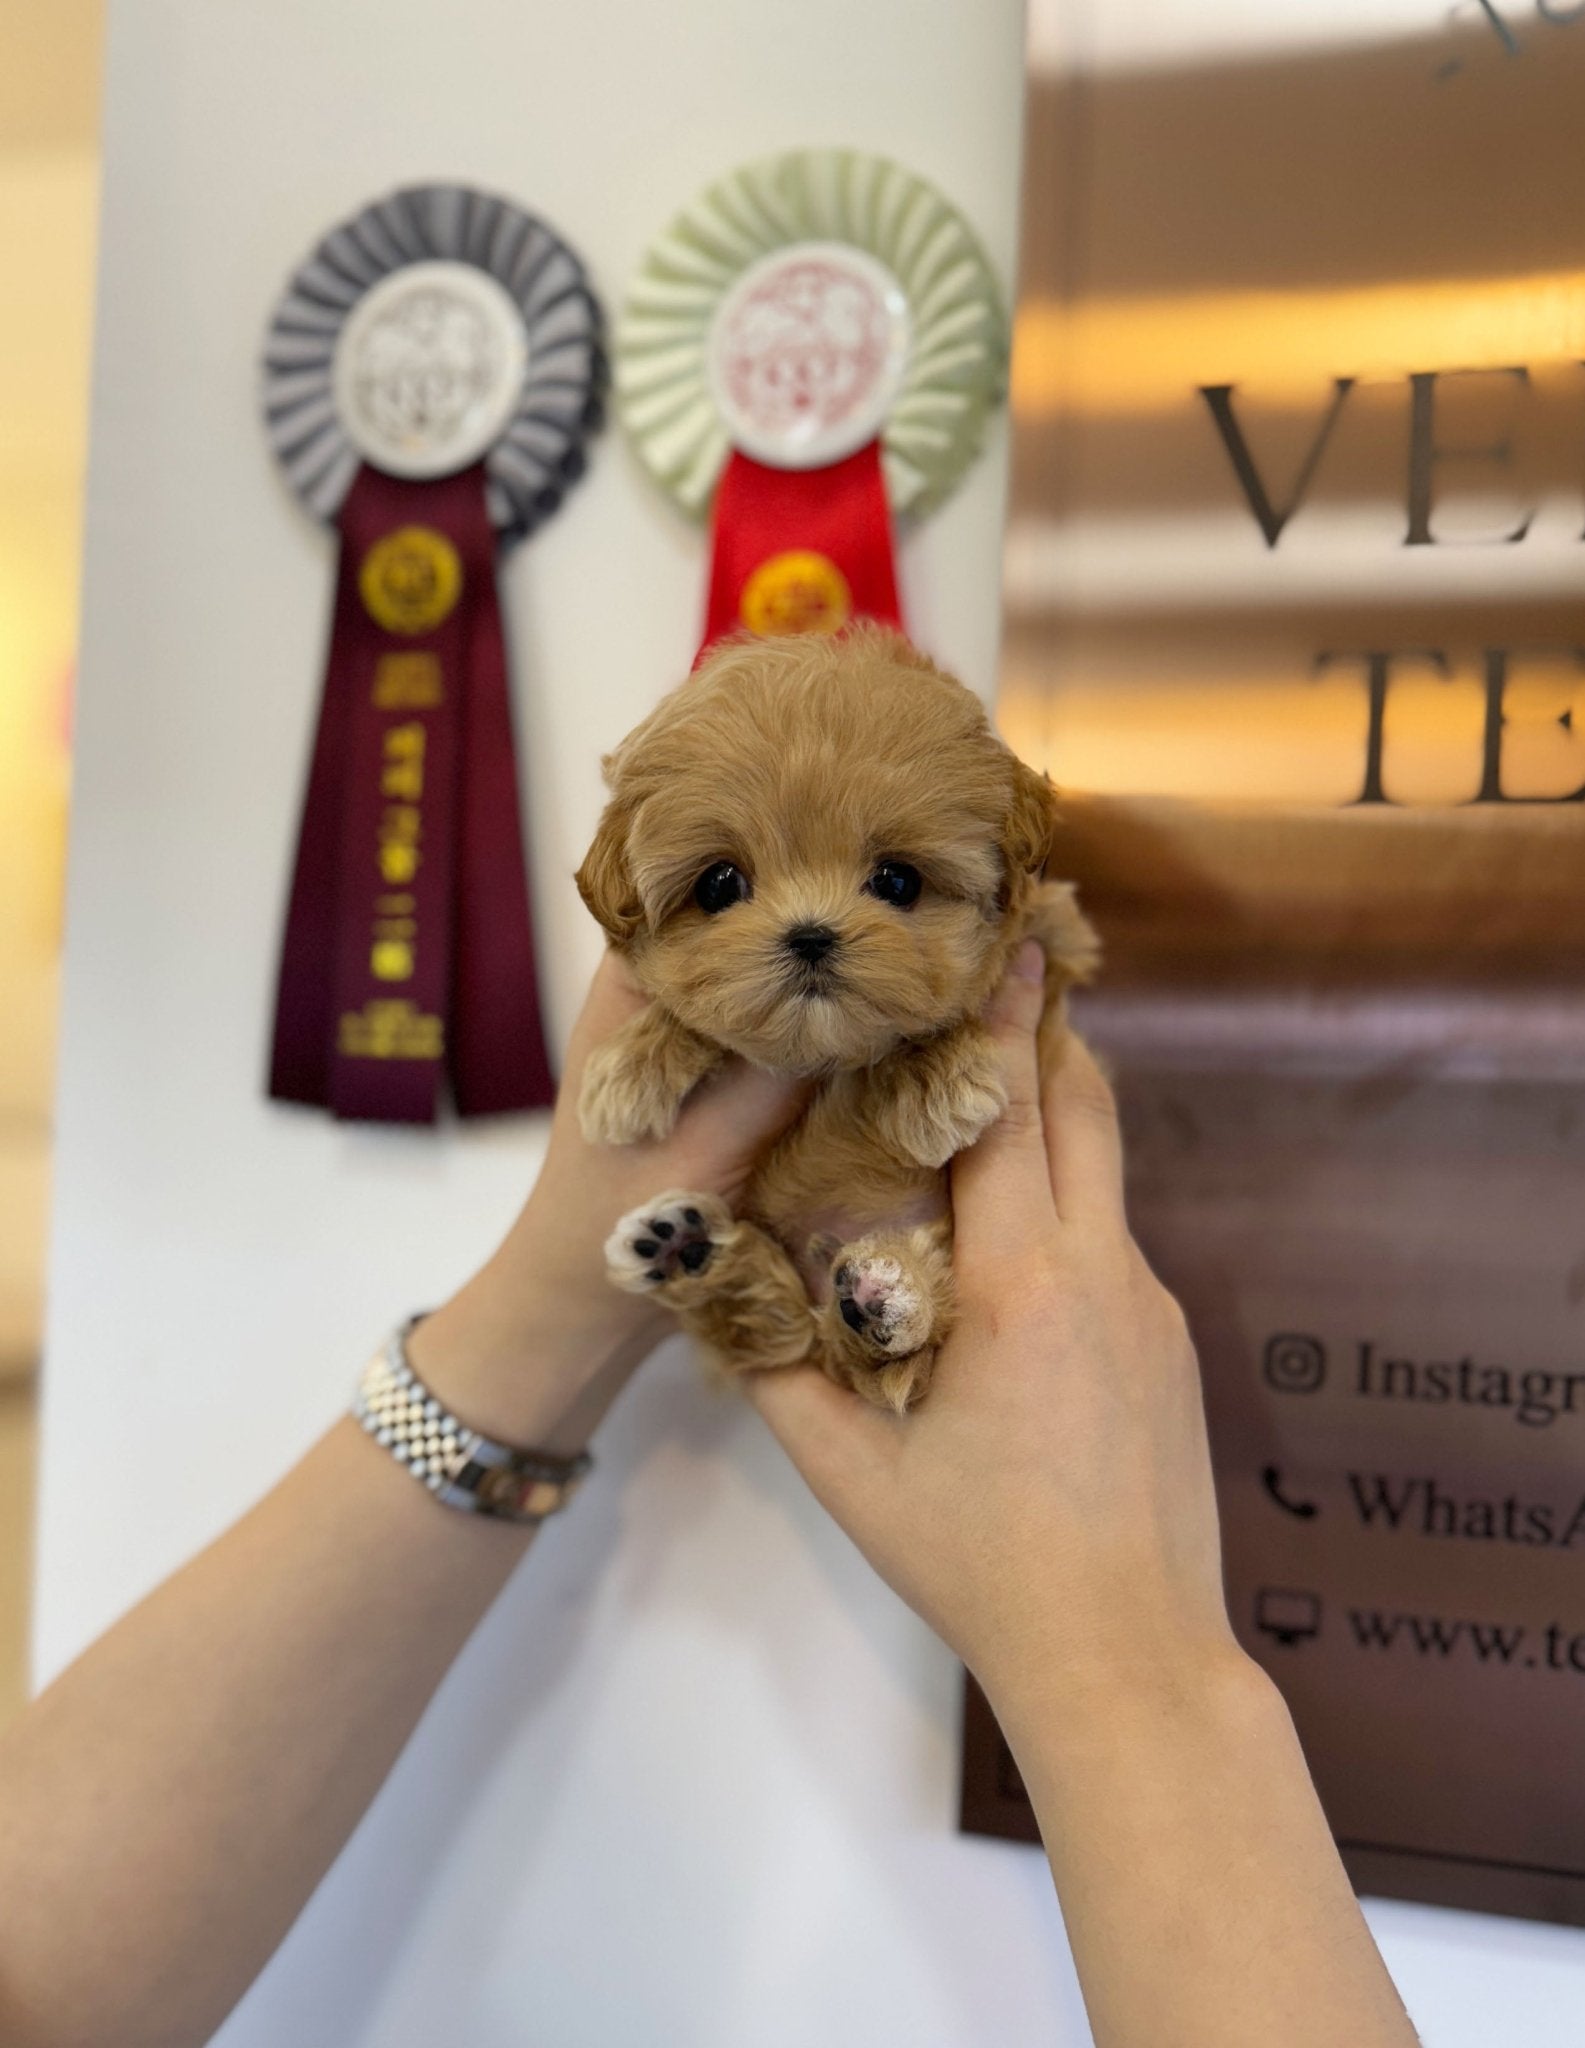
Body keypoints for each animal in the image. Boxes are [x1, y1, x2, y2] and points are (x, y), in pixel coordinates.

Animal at [573, 626, 1105, 1409]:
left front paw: (932, 1079)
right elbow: (685, 1014)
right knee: (774, 1324)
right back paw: (688, 1253)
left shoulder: (1054, 946)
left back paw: (886, 1298)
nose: (810, 935)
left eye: (897, 880)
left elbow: (951, 1008)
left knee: (886, 1356)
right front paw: (628, 1069)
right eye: (719, 884)